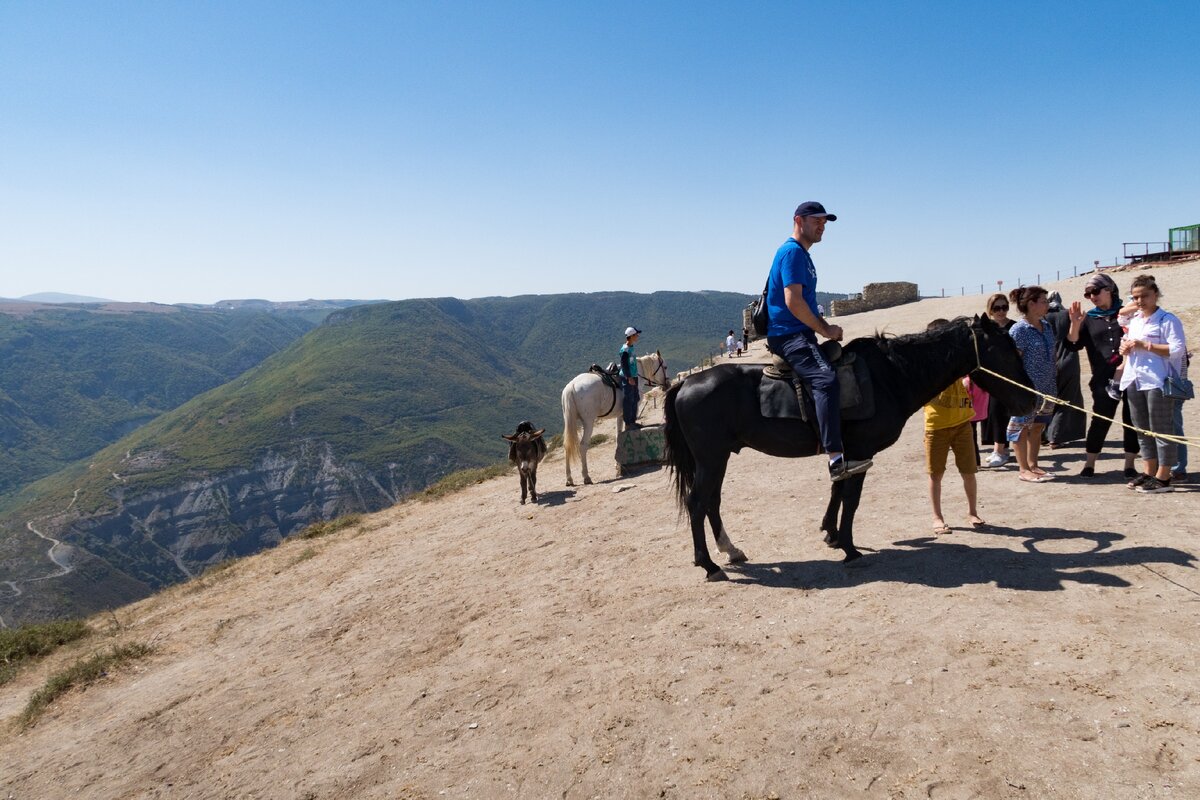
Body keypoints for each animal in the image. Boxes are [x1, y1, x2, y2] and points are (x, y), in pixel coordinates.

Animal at [559, 352, 672, 489]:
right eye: (665, 367)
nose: (668, 384)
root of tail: (572, 386)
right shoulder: (630, 409)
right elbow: (628, 425)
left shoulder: (619, 415)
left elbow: (618, 435)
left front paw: (617, 463)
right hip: (588, 422)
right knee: (583, 446)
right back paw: (586, 477)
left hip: (570, 422)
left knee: (567, 446)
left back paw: (569, 479)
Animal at [662, 314, 1036, 582]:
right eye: (1006, 350)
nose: (1031, 399)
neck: (891, 377)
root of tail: (686, 383)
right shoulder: (860, 451)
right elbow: (851, 499)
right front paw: (849, 547)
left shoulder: (844, 452)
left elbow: (837, 489)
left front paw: (830, 534)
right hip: (711, 458)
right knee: (697, 502)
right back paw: (709, 565)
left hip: (717, 458)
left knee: (711, 502)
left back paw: (731, 551)